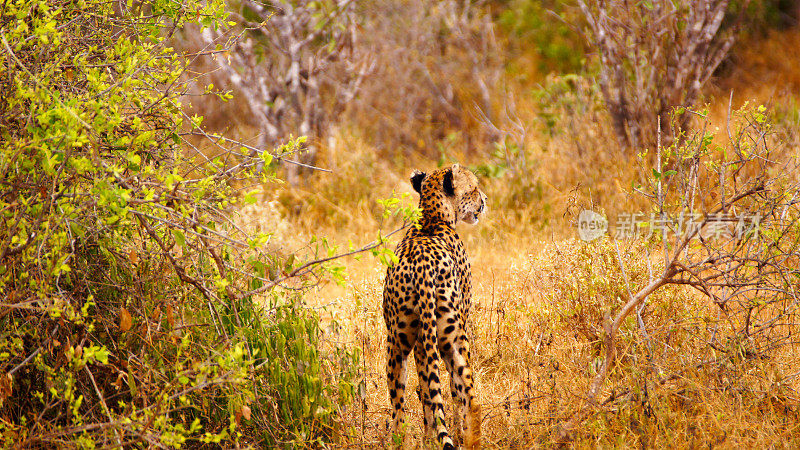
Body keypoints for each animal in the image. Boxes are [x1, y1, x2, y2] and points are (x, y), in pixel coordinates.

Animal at [382, 163, 488, 448]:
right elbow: (453, 390)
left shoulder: (419, 339)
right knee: (469, 397)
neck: (431, 217)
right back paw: (472, 439)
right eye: (474, 188)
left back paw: (407, 440)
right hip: (455, 336)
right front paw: (457, 432)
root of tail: (420, 267)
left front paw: (431, 434)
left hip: (397, 340)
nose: (485, 201)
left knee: (400, 405)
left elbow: (426, 391)